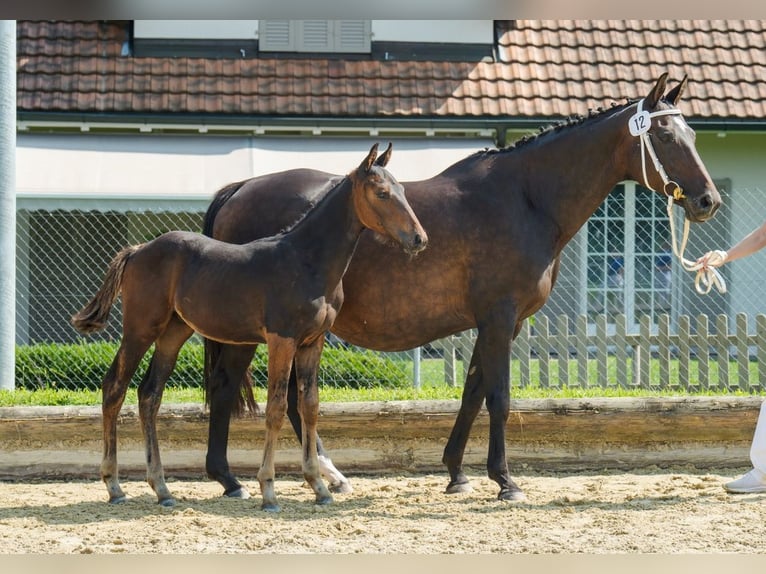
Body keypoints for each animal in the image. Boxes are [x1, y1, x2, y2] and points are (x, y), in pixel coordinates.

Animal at [72, 145, 428, 512]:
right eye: (382, 193)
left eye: (402, 190)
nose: (419, 238)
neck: (306, 260)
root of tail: (138, 249)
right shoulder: (281, 339)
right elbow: (275, 409)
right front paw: (269, 491)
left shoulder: (313, 342)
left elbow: (310, 407)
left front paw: (319, 487)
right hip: (141, 327)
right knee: (115, 387)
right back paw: (115, 486)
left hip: (174, 332)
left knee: (149, 394)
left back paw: (162, 488)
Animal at [202, 73, 720, 504]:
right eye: (665, 136)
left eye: (693, 135)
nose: (707, 201)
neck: (526, 199)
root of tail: (239, 187)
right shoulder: (499, 318)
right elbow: (499, 397)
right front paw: (506, 481)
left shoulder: (499, 324)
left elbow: (473, 393)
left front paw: (457, 473)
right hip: (254, 332)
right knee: (229, 389)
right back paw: (231, 478)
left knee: (289, 400)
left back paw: (324, 476)